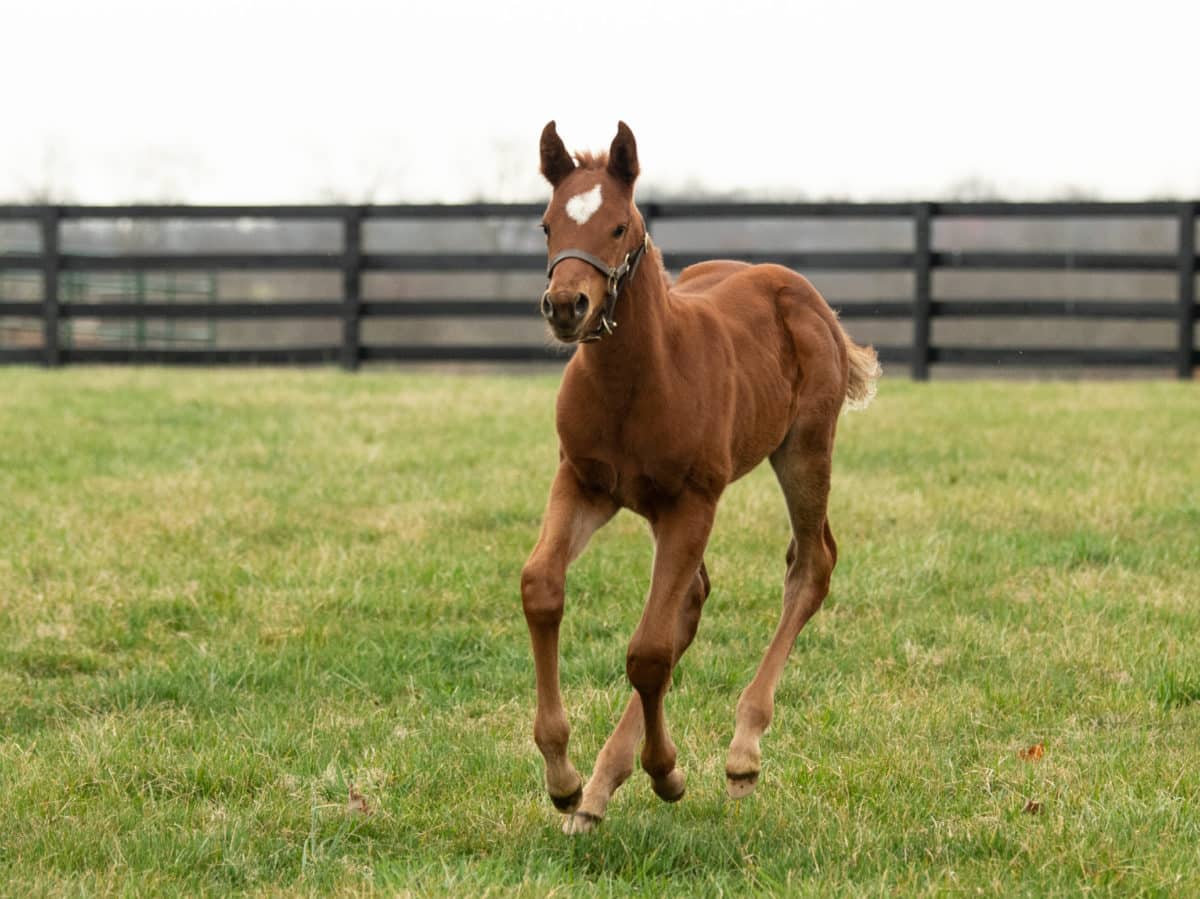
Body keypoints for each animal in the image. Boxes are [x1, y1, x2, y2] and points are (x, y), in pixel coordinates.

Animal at [520, 121, 878, 835]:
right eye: (547, 224)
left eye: (620, 226)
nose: (566, 305)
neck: (636, 382)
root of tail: (804, 293)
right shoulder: (583, 483)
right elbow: (542, 588)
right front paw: (565, 780)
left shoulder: (693, 501)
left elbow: (649, 651)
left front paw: (666, 772)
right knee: (693, 597)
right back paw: (598, 791)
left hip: (804, 450)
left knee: (811, 564)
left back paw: (741, 755)